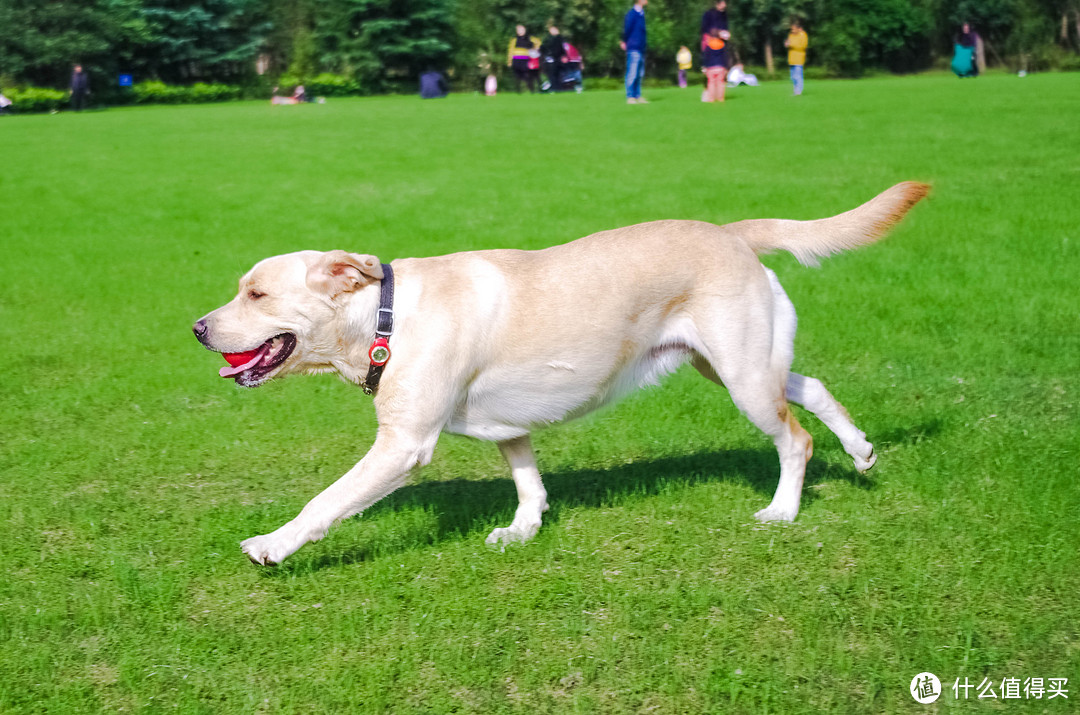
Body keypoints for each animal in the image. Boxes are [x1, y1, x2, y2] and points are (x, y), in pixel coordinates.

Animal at [194, 183, 928, 565]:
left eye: (256, 294)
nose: (198, 328)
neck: (385, 319)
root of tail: (731, 231)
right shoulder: (506, 425)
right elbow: (527, 480)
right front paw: (523, 529)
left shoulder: (403, 445)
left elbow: (325, 502)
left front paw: (272, 544)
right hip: (732, 366)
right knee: (810, 389)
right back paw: (860, 450)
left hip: (742, 378)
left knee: (794, 437)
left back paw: (783, 509)